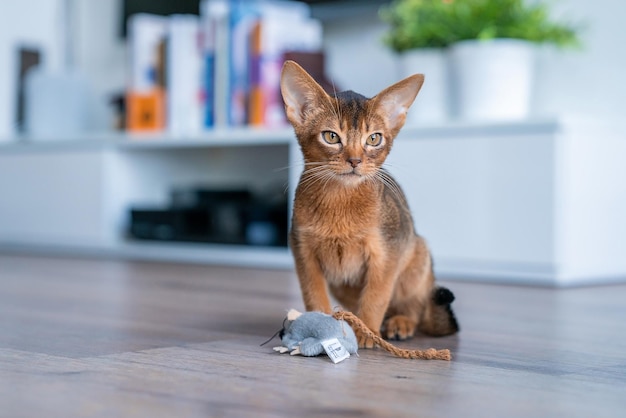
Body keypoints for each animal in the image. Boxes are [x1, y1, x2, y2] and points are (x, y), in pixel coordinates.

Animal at [280, 60, 456, 348]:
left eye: (374, 139)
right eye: (331, 137)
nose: (354, 160)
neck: (340, 200)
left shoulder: (386, 252)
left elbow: (376, 296)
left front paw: (368, 333)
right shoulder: (303, 251)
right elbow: (314, 295)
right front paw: (321, 327)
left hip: (417, 254)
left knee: (415, 308)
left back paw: (399, 323)